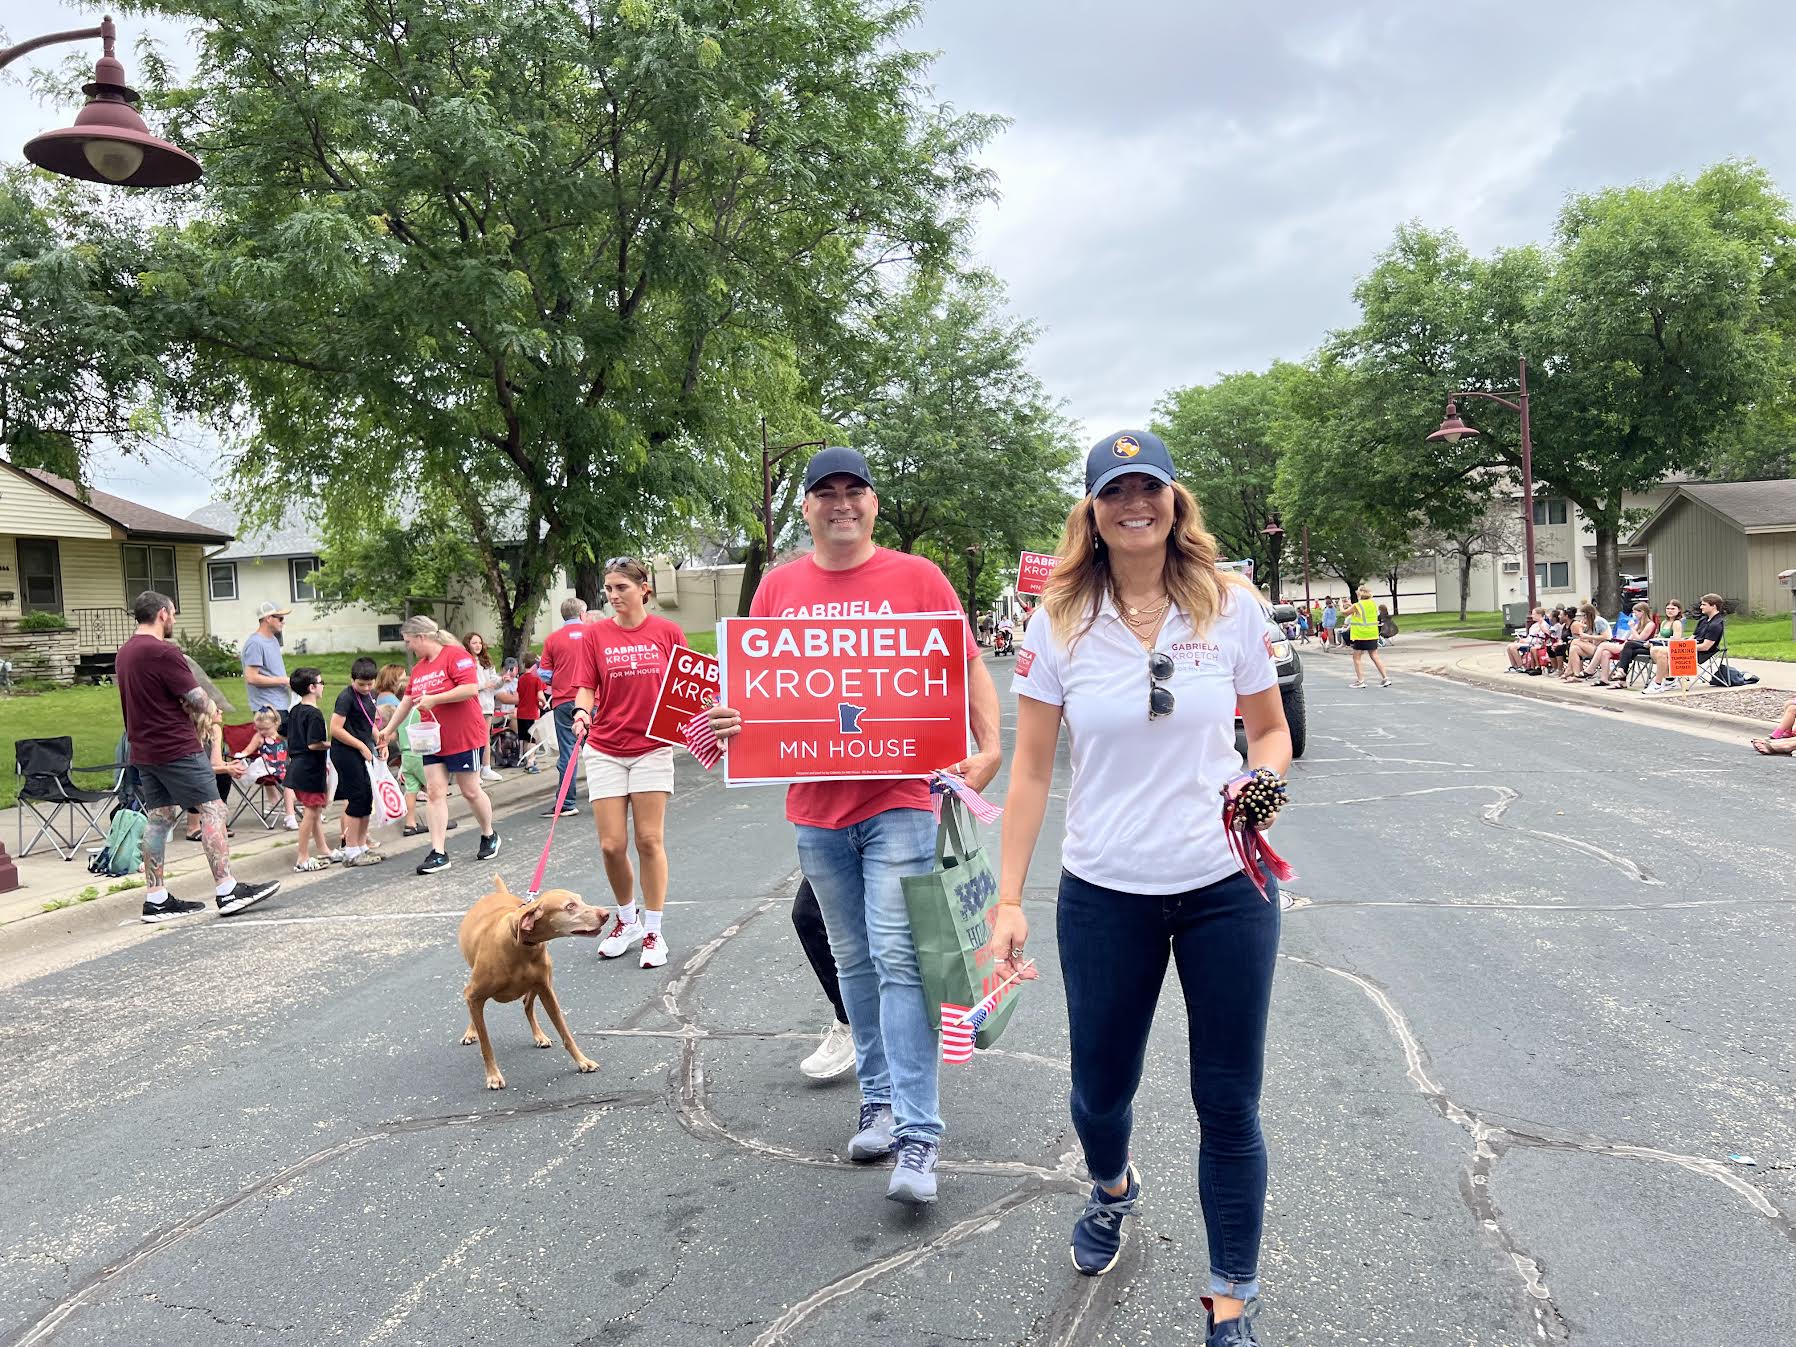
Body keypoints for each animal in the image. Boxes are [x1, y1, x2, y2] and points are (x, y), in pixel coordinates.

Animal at [456, 880, 610, 1091]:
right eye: (570, 906)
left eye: (581, 899)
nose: (606, 914)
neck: (519, 943)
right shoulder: (474, 995)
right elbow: (486, 1044)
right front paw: (493, 1076)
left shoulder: (547, 990)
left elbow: (565, 1033)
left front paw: (582, 1061)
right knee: (477, 1012)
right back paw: (471, 1032)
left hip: (541, 983)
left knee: (527, 1004)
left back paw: (540, 1036)